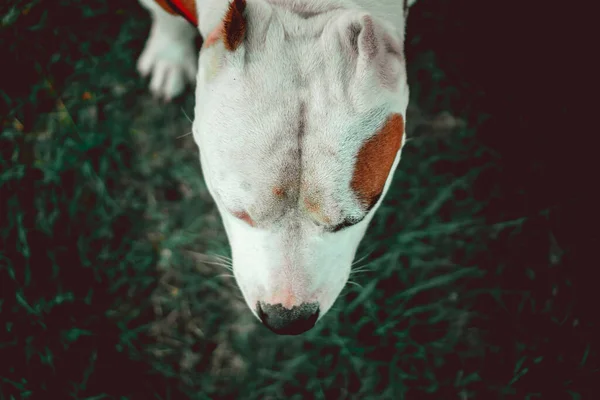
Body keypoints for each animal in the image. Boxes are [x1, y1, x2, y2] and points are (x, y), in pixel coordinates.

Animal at [137, 0, 418, 334]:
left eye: (353, 220)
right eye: (235, 210)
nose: (287, 319)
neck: (302, 10)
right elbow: (165, 17)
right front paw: (168, 55)